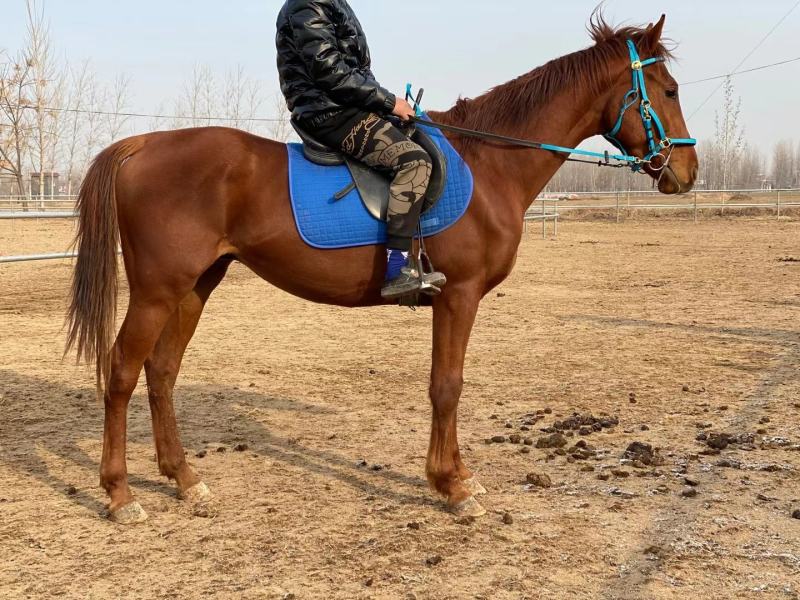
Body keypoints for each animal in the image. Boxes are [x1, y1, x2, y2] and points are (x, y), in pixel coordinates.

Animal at [66, 14, 698, 524]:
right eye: (667, 90)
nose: (687, 172)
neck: (490, 163)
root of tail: (141, 146)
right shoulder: (458, 295)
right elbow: (447, 385)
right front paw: (451, 487)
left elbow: (448, 384)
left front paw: (458, 476)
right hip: (157, 290)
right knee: (121, 372)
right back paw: (120, 495)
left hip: (196, 286)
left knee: (162, 372)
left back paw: (186, 480)